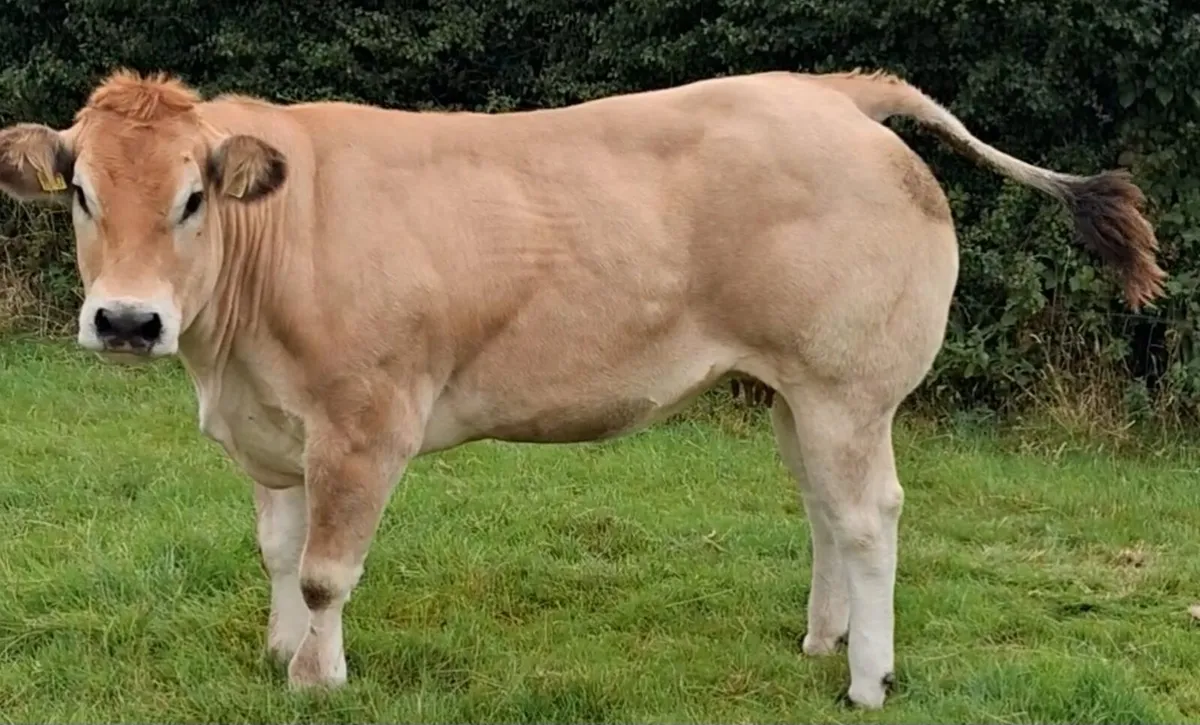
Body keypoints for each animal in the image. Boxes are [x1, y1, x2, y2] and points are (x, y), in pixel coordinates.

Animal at [0, 68, 1163, 709]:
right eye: (81, 191)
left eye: (193, 197)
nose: (128, 321)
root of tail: (829, 92)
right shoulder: (275, 431)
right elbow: (281, 554)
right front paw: (280, 649)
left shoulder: (365, 421)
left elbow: (330, 571)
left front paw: (317, 677)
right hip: (798, 392)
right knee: (826, 509)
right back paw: (823, 638)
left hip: (850, 384)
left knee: (871, 516)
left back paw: (866, 678)